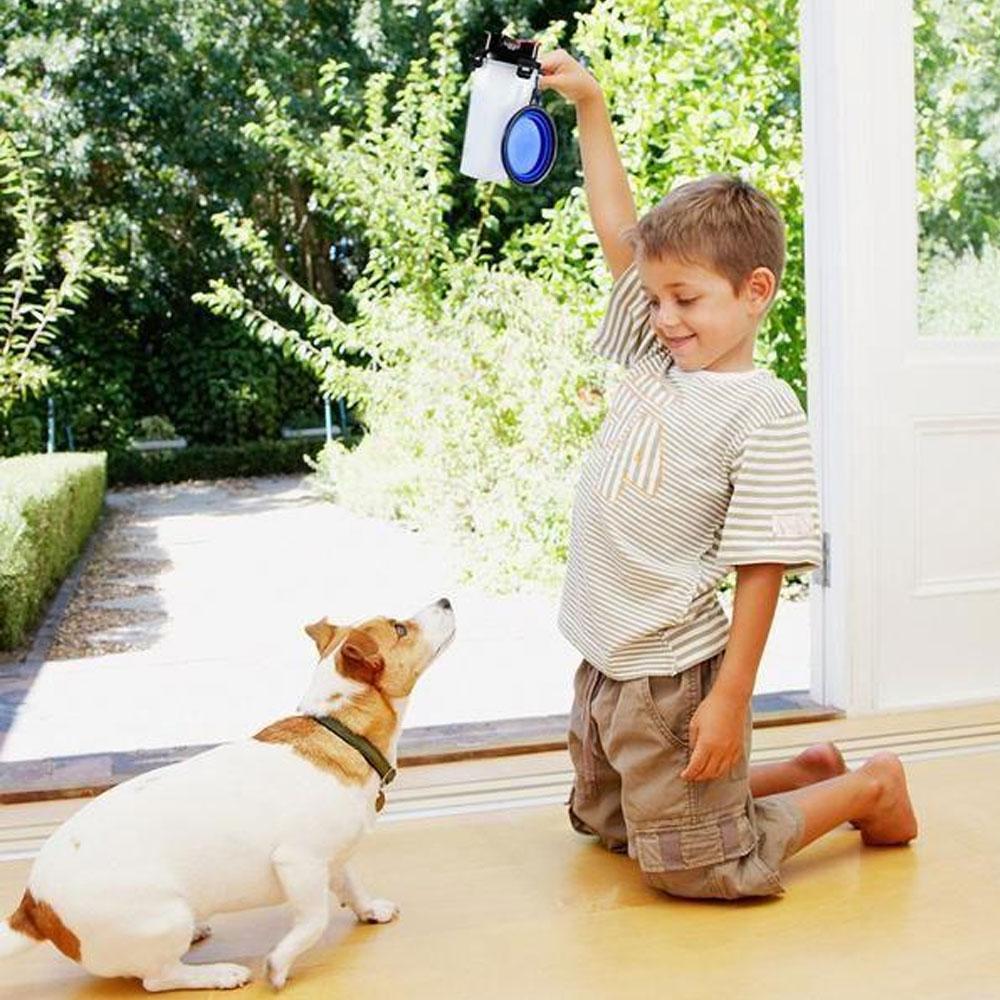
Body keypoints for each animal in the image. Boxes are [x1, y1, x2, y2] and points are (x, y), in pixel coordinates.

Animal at [1, 596, 456, 988]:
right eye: (400, 628)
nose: (446, 600)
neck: (339, 729)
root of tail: (33, 906)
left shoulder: (334, 858)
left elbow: (351, 886)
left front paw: (370, 909)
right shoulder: (300, 863)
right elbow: (314, 921)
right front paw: (279, 964)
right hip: (165, 917)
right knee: (157, 978)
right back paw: (217, 973)